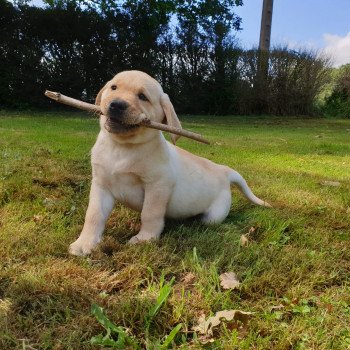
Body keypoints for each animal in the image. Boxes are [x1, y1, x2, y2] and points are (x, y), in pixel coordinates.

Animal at [69, 69, 270, 256]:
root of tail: (223, 170)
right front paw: (85, 242)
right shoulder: (101, 184)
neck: (122, 147)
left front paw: (145, 239)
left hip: (214, 214)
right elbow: (94, 215)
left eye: (142, 97)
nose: (116, 104)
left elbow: (150, 214)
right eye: (113, 88)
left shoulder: (158, 185)